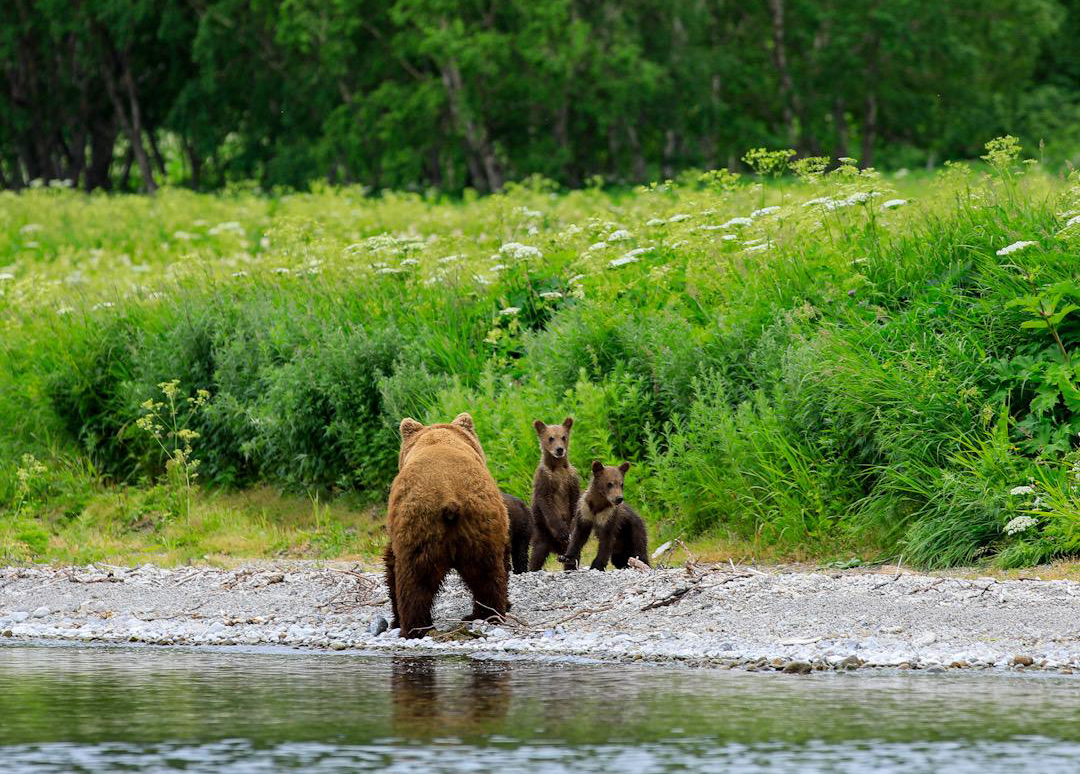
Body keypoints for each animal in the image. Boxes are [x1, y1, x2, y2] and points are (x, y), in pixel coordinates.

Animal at [384, 414, 509, 639]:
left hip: (424, 524)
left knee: (416, 582)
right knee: (486, 575)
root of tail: (449, 499)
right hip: (473, 526)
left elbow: (391, 561)